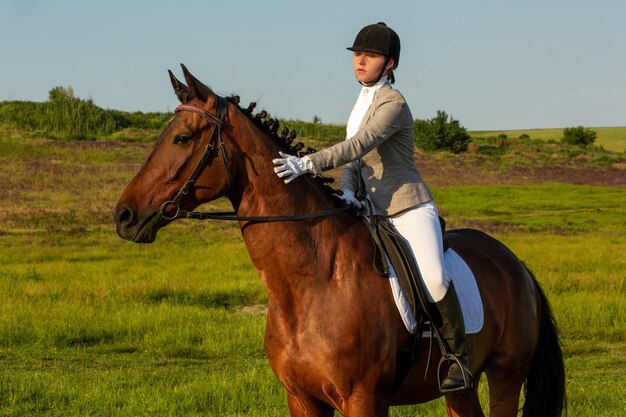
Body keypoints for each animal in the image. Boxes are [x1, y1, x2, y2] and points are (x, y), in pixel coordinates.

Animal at [114, 65, 564, 416]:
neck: (313, 281)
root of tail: (515, 263)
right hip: (462, 391)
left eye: (182, 138)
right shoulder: (302, 400)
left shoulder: (363, 400)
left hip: (506, 374)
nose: (124, 216)